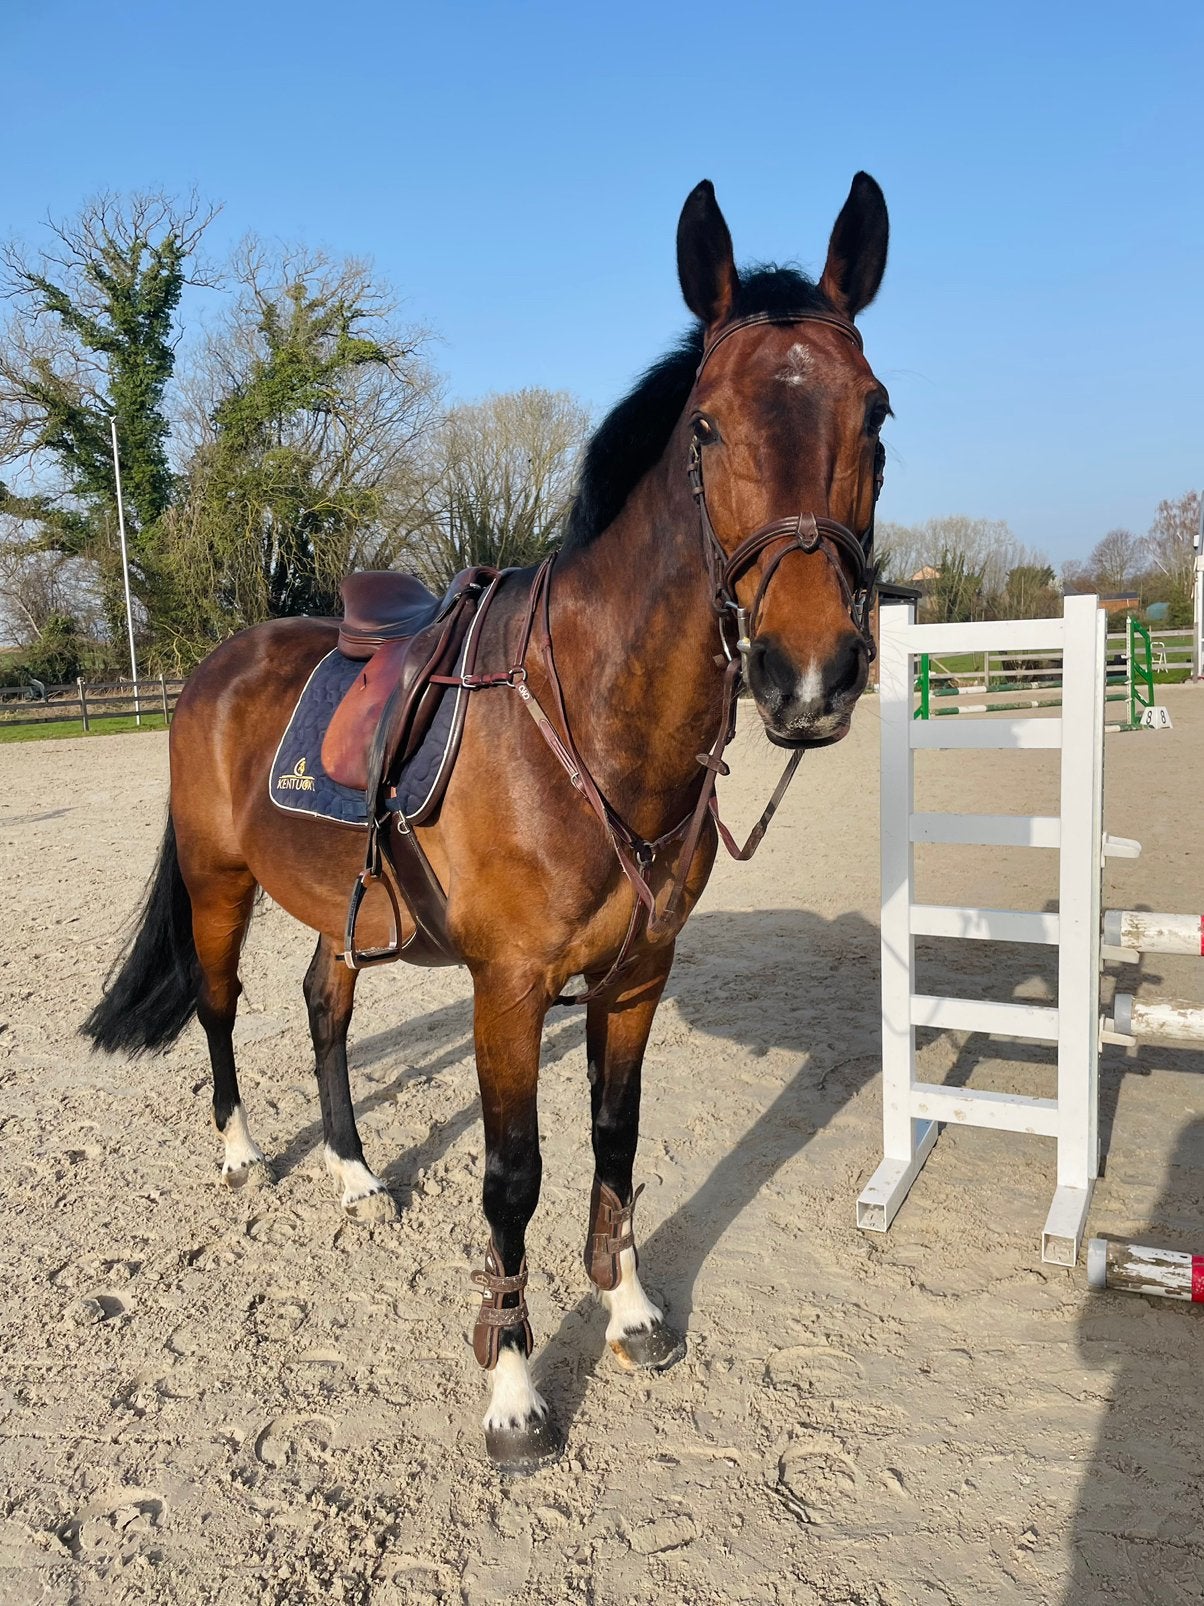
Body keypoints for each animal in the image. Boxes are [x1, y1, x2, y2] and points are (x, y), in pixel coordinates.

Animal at [84, 173, 891, 1471]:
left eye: (875, 415)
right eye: (707, 429)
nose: (807, 674)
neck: (594, 719)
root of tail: (213, 666)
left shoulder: (635, 976)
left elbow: (615, 1141)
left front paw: (630, 1309)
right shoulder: (508, 988)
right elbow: (515, 1176)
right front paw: (513, 1388)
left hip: (340, 903)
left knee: (323, 1008)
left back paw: (355, 1176)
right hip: (217, 880)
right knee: (219, 1005)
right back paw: (244, 1153)